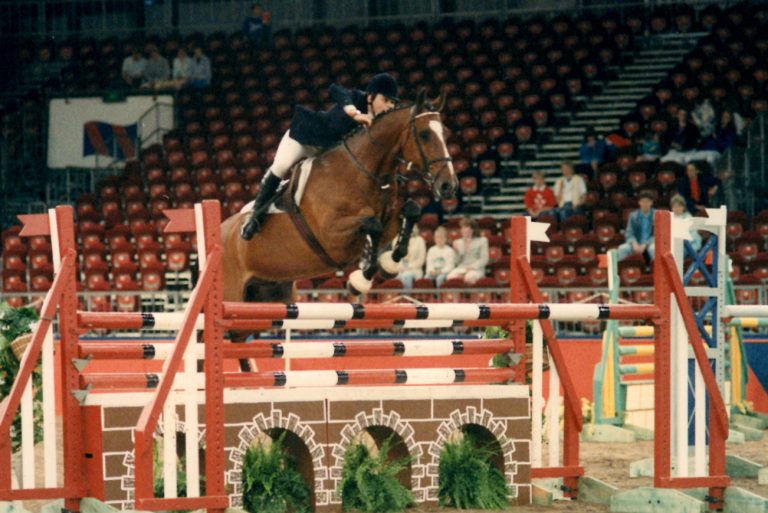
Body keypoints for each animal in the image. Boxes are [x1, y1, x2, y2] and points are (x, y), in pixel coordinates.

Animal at [218, 90, 456, 316]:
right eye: (424, 135)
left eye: (445, 133)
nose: (449, 185)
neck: (362, 171)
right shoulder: (331, 236)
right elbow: (372, 224)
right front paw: (362, 277)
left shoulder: (388, 221)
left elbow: (411, 210)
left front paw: (389, 264)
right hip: (232, 294)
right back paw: (249, 225)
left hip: (270, 293)